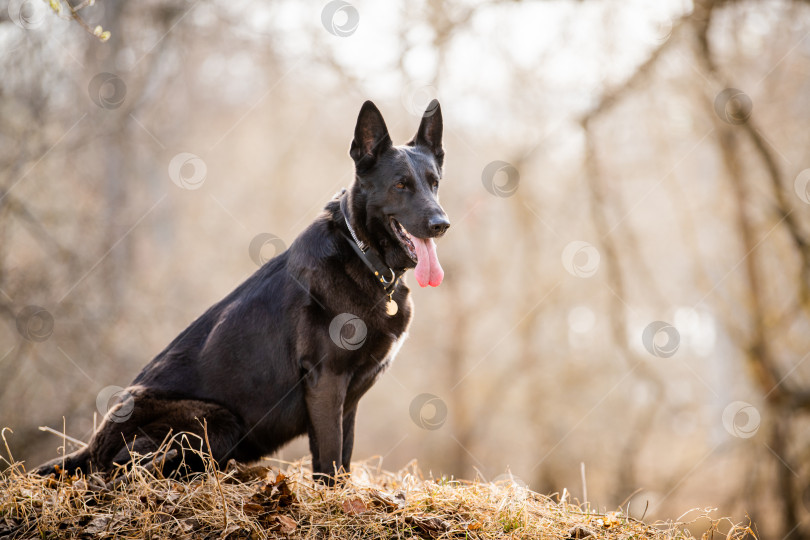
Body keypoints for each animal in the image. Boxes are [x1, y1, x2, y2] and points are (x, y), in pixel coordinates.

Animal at [33, 99, 448, 484]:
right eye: (400, 185)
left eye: (434, 183)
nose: (441, 224)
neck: (361, 254)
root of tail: (89, 449)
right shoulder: (327, 382)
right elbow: (329, 460)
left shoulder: (349, 399)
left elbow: (342, 458)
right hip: (219, 420)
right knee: (127, 472)